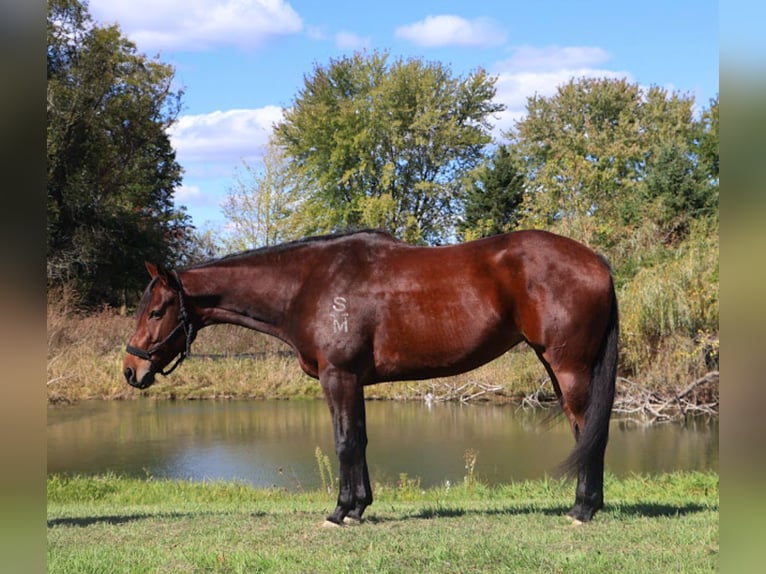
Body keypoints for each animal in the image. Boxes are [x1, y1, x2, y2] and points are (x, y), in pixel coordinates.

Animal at [123, 229, 618, 526]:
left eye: (156, 310)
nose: (131, 369)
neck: (309, 285)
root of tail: (595, 261)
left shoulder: (338, 377)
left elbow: (344, 442)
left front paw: (340, 512)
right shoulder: (352, 381)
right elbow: (358, 440)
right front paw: (359, 507)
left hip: (569, 368)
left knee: (588, 432)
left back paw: (582, 509)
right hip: (557, 366)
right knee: (586, 431)